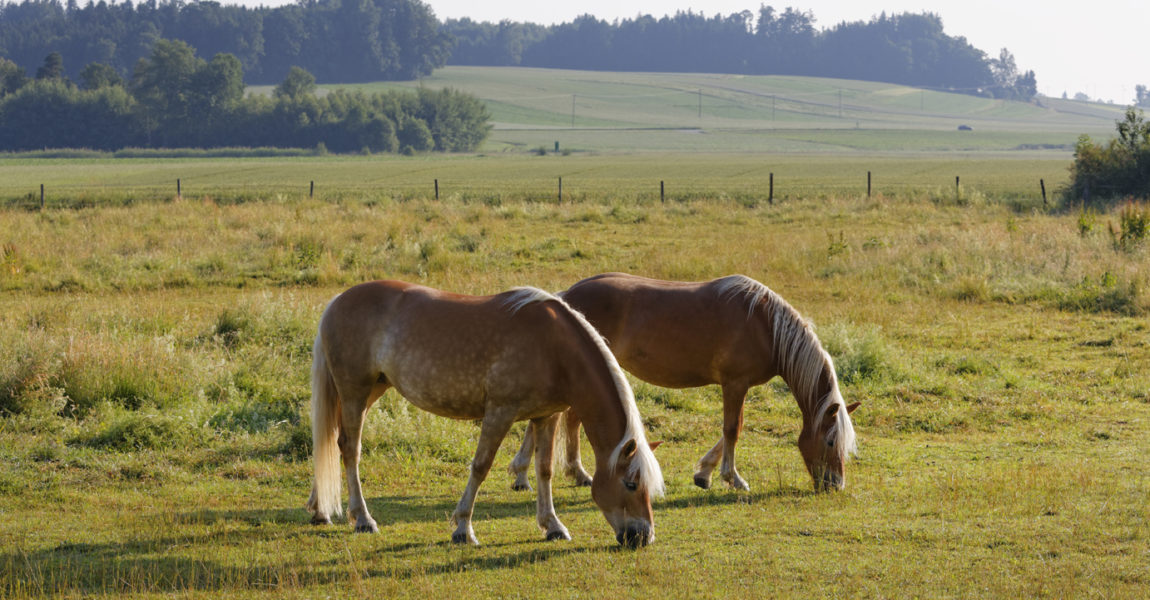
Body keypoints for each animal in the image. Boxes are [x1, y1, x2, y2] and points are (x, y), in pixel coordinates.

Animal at [305, 280, 667, 547]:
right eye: (631, 483)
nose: (644, 537)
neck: (554, 348)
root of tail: (337, 301)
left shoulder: (546, 416)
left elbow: (544, 470)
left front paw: (552, 525)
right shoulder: (499, 412)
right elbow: (481, 466)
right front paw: (463, 529)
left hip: (370, 391)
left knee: (331, 440)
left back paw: (320, 509)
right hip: (355, 391)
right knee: (350, 449)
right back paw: (363, 519)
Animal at [508, 273, 860, 491]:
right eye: (831, 441)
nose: (835, 485)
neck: (766, 325)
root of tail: (566, 296)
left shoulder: (738, 386)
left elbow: (728, 431)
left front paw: (704, 473)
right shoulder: (735, 384)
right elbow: (733, 429)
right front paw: (733, 478)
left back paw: (533, 473)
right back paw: (561, 472)